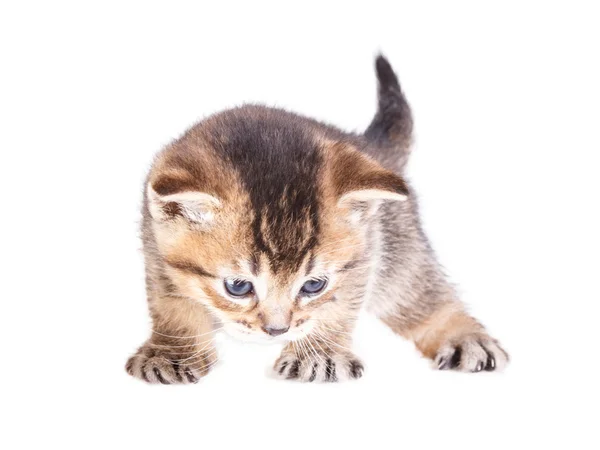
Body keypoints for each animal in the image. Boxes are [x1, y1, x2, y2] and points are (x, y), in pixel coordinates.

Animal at [125, 53, 506, 384]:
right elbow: (171, 304)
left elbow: (339, 305)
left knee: (419, 292)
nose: (276, 330)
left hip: (399, 247)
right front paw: (173, 352)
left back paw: (464, 336)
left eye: (313, 285)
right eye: (238, 286)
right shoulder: (155, 245)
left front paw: (319, 355)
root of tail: (369, 149)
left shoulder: (366, 250)